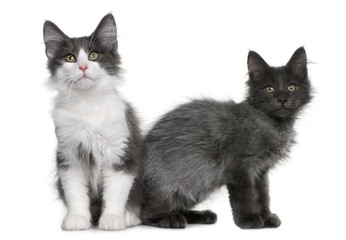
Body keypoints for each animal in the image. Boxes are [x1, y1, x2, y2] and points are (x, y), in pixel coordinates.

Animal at [43, 14, 143, 232]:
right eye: (70, 58)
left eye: (94, 56)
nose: (83, 67)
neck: (87, 101)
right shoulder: (69, 156)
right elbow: (75, 193)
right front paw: (77, 219)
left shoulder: (120, 153)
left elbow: (115, 192)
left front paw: (113, 218)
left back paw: (129, 216)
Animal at [140, 47, 310, 229]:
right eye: (269, 89)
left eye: (291, 87)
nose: (282, 99)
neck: (272, 124)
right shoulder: (238, 167)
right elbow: (244, 196)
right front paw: (248, 219)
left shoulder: (261, 172)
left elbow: (262, 196)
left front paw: (266, 217)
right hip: (176, 181)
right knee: (147, 213)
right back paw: (171, 219)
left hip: (199, 184)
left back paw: (201, 216)